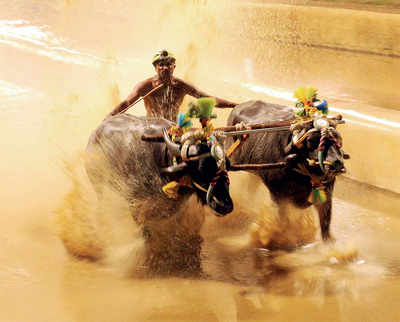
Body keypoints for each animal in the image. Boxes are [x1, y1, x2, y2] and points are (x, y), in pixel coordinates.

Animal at [225, 100, 346, 242]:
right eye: (310, 140)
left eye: (337, 138)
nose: (336, 163)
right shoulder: (279, 197)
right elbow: (284, 221)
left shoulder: (326, 196)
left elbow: (326, 226)